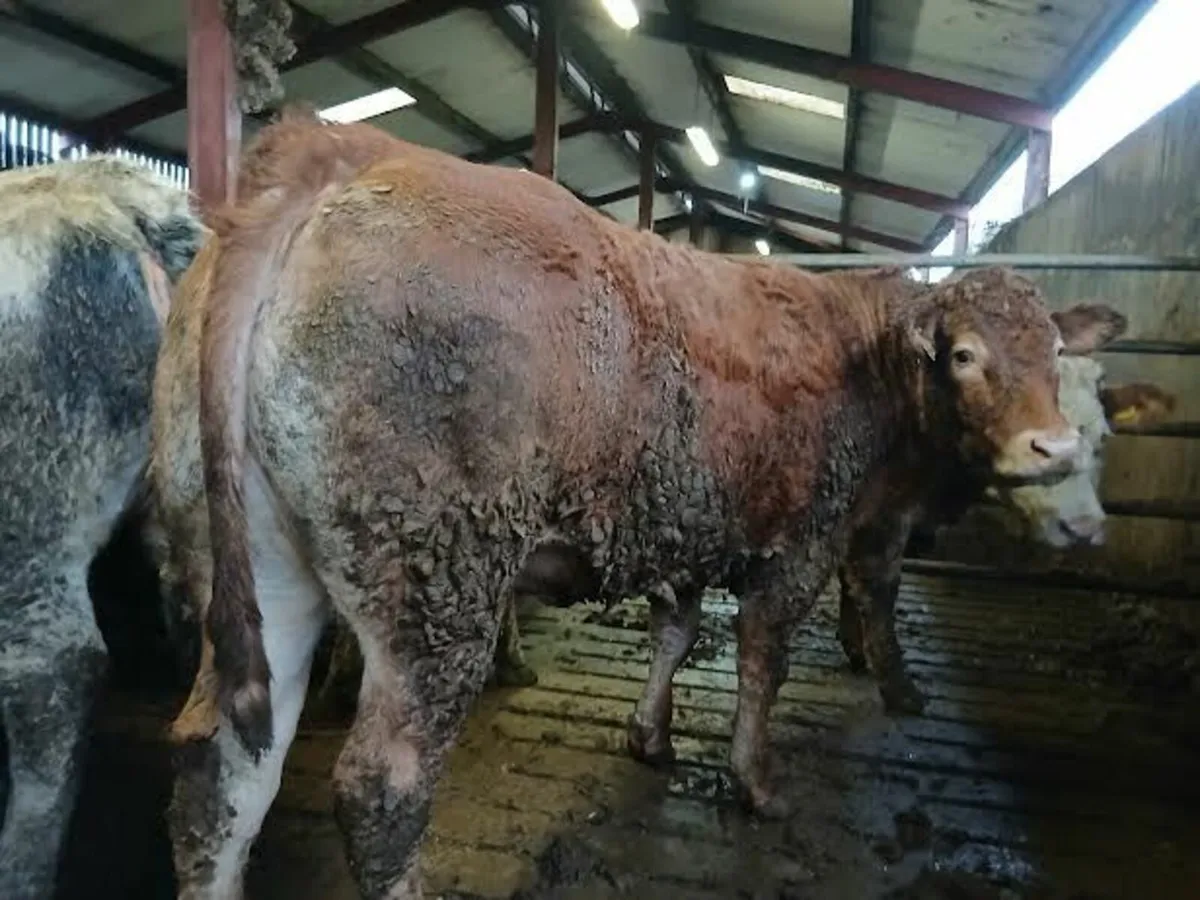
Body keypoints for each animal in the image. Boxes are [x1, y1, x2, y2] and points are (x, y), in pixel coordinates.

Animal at [150, 111, 1084, 898]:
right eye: (964, 355)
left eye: (1055, 350)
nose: (1058, 448)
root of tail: (343, 152)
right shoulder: (802, 540)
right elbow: (762, 661)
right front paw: (756, 782)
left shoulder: (687, 525)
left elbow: (677, 631)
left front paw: (651, 735)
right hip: (436, 582)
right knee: (384, 787)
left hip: (245, 560)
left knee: (218, 773)